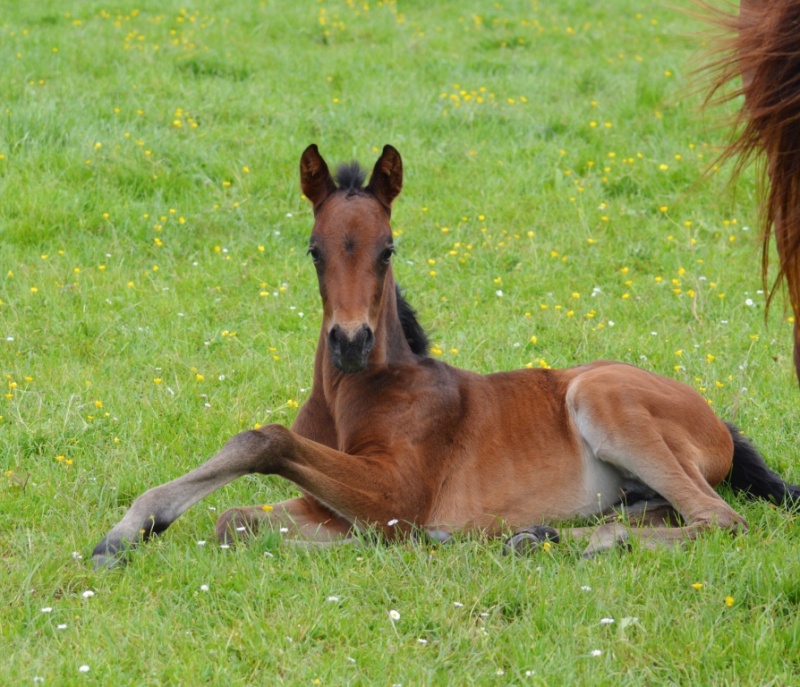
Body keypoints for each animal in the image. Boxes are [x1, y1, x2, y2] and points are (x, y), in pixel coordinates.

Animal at [95, 145, 800, 568]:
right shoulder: (338, 511)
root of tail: (719, 422)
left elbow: (263, 440)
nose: (350, 343)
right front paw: (132, 531)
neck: (354, 395)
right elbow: (235, 519)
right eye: (314, 250)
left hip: (601, 397)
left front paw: (125, 530)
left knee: (720, 518)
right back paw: (541, 534)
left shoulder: (397, 494)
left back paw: (562, 538)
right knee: (665, 510)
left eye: (387, 249)